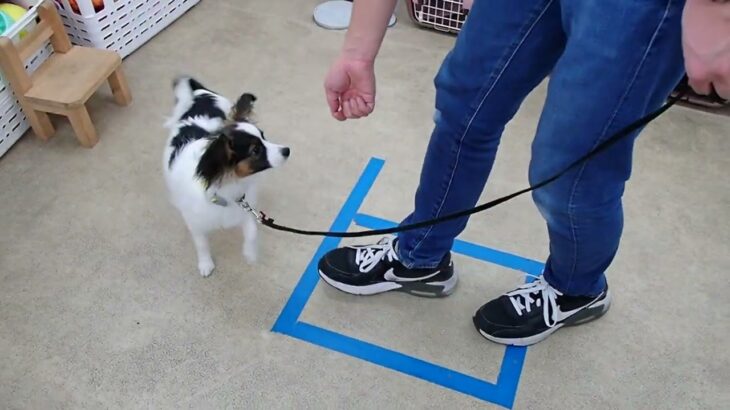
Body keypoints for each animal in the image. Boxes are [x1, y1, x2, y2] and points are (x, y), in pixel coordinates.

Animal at [164, 76, 288, 278]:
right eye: (255, 150)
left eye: (264, 136)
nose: (287, 150)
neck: (226, 185)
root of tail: (201, 92)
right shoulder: (196, 222)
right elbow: (201, 244)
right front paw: (205, 263)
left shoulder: (244, 206)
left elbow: (251, 231)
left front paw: (250, 254)